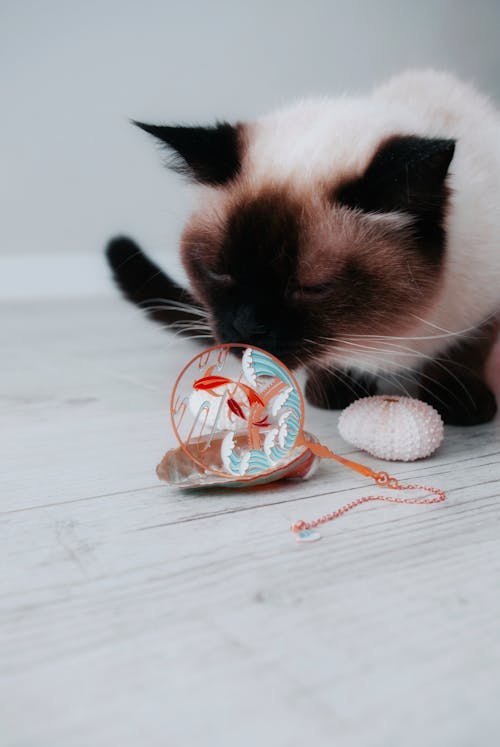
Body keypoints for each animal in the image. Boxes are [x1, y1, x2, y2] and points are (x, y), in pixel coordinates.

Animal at [106, 71, 500, 426]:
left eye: (312, 288)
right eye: (218, 272)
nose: (246, 327)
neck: (377, 337)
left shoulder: (486, 305)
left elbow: (466, 346)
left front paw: (457, 398)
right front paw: (334, 387)